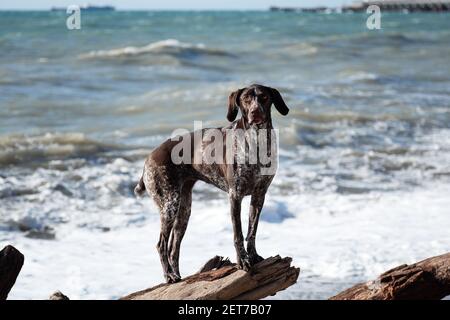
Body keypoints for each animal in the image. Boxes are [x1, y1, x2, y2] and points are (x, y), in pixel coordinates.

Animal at [134, 85, 288, 282]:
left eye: (264, 97)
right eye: (246, 99)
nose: (255, 112)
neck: (256, 141)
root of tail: (148, 158)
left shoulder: (259, 195)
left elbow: (252, 231)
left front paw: (253, 256)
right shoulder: (235, 196)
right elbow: (238, 234)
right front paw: (242, 261)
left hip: (183, 210)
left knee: (173, 249)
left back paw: (177, 275)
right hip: (169, 205)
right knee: (161, 245)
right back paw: (169, 275)